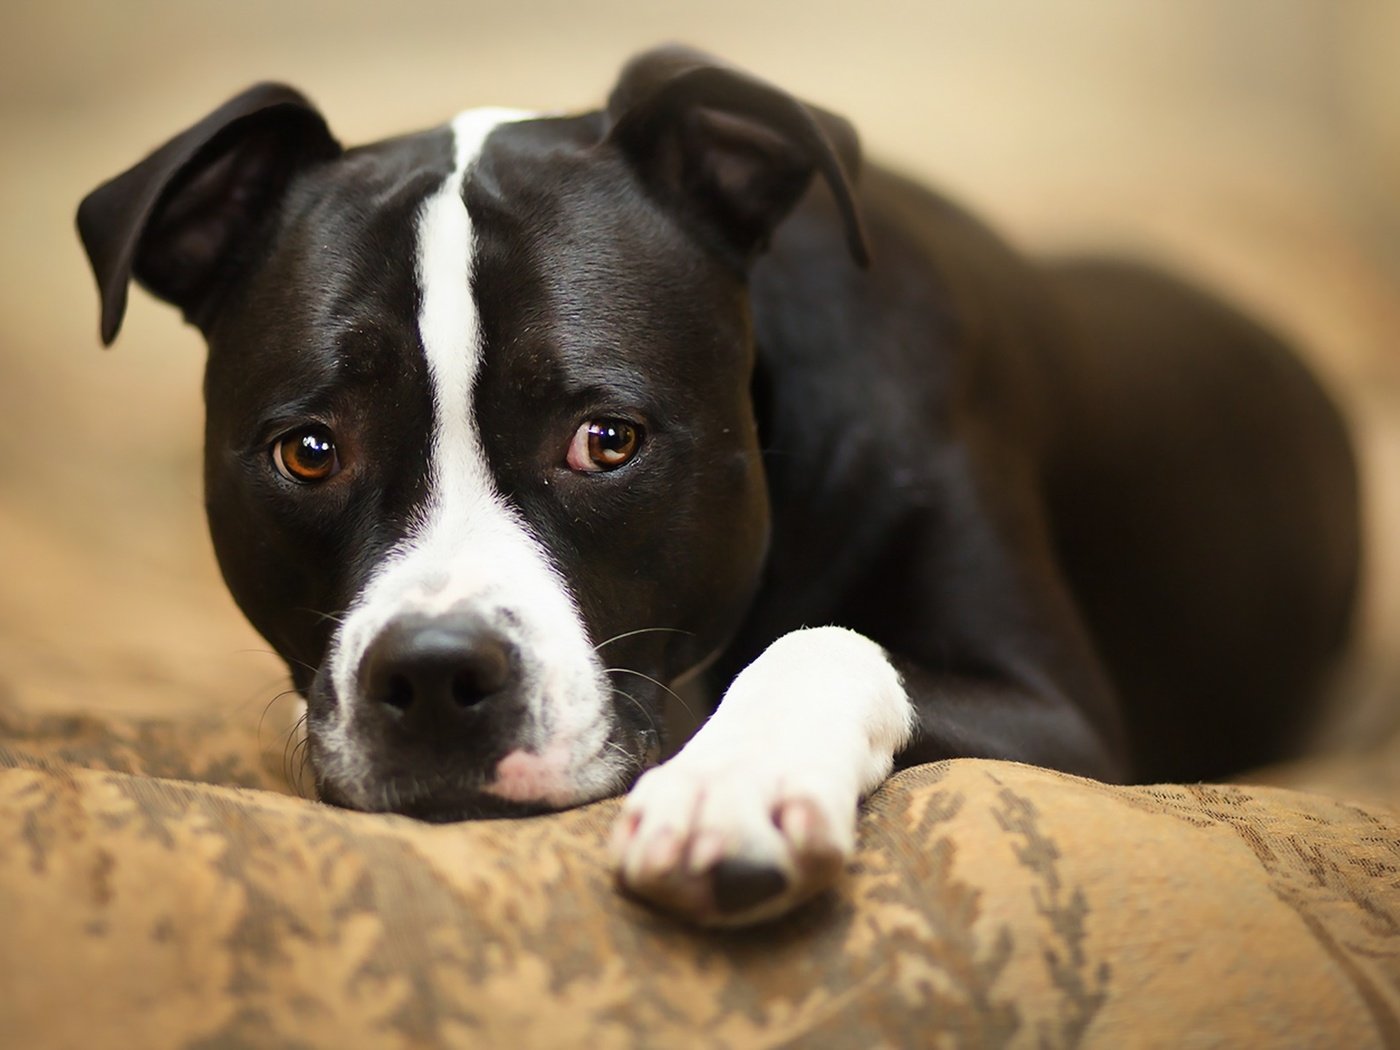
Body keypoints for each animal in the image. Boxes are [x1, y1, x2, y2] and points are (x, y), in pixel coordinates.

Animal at [73, 45, 1355, 924]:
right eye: (310, 451)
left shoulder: (1061, 718)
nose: (434, 677)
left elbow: (820, 640)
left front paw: (731, 785)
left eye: (606, 440)